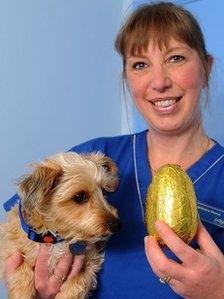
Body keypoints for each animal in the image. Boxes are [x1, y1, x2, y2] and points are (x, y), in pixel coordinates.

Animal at [0, 152, 121, 299]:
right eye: (80, 196)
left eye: (104, 192)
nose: (117, 225)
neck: (55, 239)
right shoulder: (9, 254)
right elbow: (22, 273)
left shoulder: (90, 263)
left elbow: (76, 285)